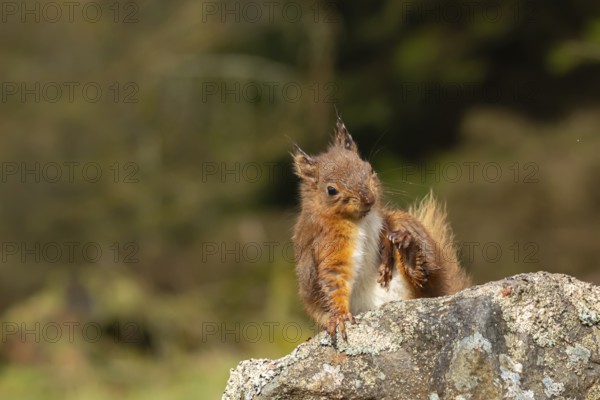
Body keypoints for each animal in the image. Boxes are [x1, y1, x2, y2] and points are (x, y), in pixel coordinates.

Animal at [292, 115, 472, 340]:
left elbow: (386, 239)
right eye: (331, 190)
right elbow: (334, 279)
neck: (362, 220)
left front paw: (387, 261)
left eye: (369, 168)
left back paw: (410, 254)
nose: (369, 199)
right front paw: (339, 315)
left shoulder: (383, 222)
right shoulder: (328, 243)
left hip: (406, 225)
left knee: (426, 278)